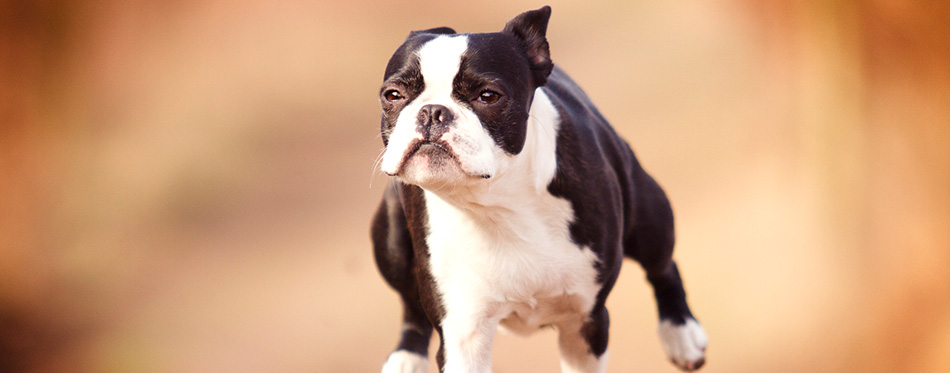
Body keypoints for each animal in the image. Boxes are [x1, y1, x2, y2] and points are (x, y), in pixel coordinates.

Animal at [372, 6, 708, 372]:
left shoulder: (585, 323)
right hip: (390, 237)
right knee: (410, 302)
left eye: (488, 96)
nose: (432, 112)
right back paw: (407, 357)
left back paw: (681, 333)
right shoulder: (464, 337)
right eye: (392, 95)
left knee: (662, 265)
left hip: (648, 214)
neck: (496, 206)